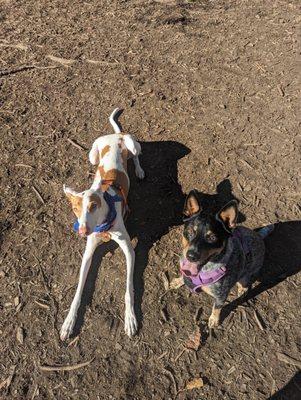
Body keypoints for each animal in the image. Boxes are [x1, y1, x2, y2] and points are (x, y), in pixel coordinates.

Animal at [59, 108, 144, 340]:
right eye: (76, 209)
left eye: (93, 206)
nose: (82, 231)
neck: (104, 225)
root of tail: (114, 136)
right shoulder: (88, 251)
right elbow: (78, 291)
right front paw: (69, 322)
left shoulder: (129, 249)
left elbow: (128, 289)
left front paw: (130, 318)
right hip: (93, 154)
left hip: (133, 143)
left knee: (136, 154)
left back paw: (139, 169)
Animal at [179, 190, 274, 328]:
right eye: (190, 231)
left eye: (212, 238)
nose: (191, 255)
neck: (204, 270)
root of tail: (259, 236)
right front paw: (177, 281)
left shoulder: (221, 296)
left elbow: (217, 308)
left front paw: (214, 320)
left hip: (247, 272)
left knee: (245, 281)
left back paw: (242, 288)